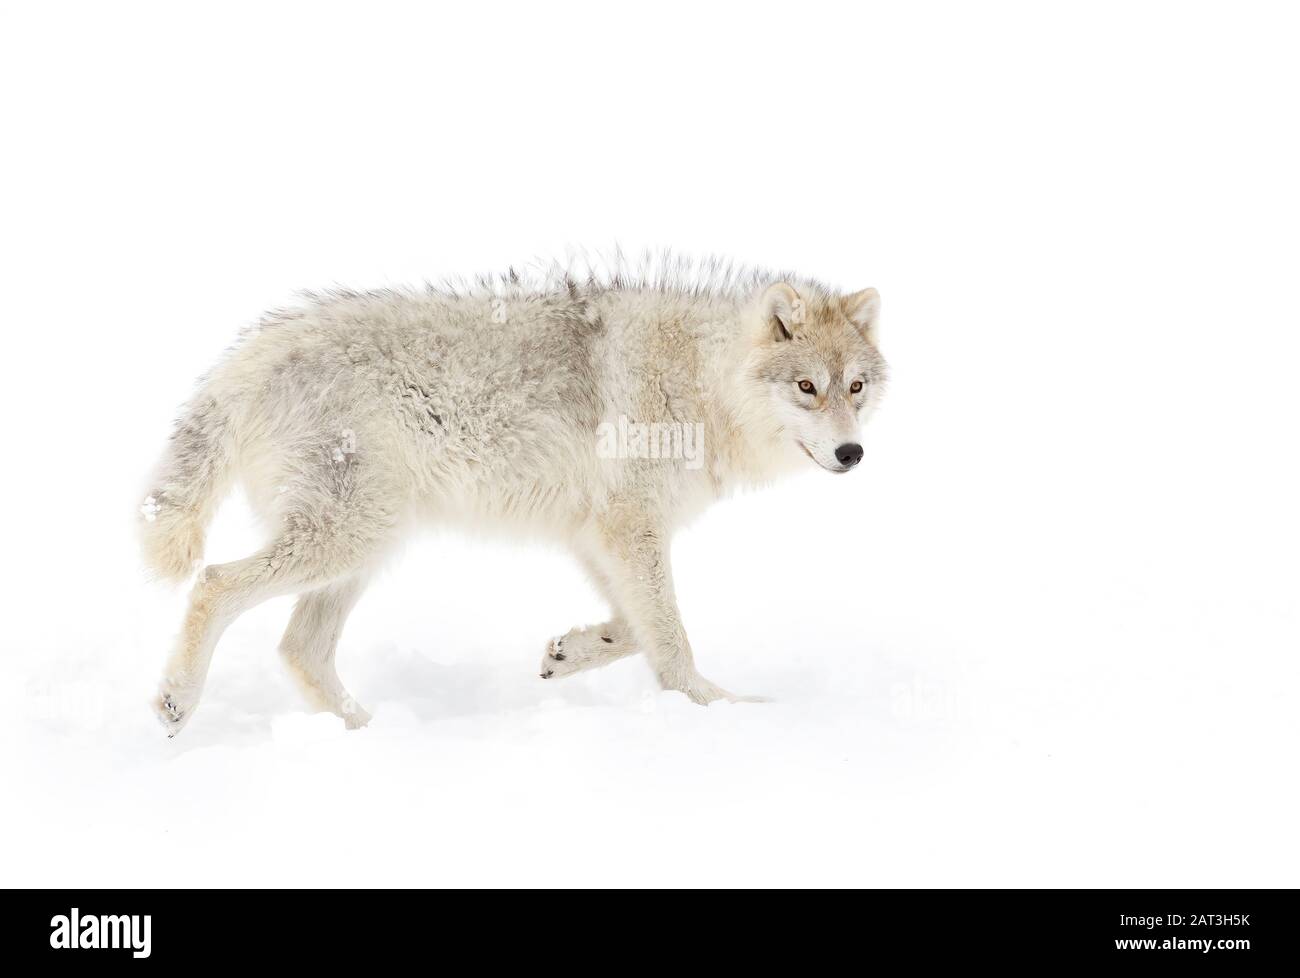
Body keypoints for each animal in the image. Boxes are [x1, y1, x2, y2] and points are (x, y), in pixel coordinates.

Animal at [142, 257, 889, 733]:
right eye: (807, 387)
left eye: (855, 387)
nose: (852, 454)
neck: (699, 382)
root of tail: (247, 360)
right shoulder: (630, 528)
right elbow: (672, 639)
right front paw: (716, 709)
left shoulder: (599, 535)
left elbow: (634, 628)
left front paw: (572, 652)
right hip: (351, 538)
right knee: (214, 583)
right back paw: (178, 700)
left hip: (365, 548)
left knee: (300, 649)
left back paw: (372, 732)